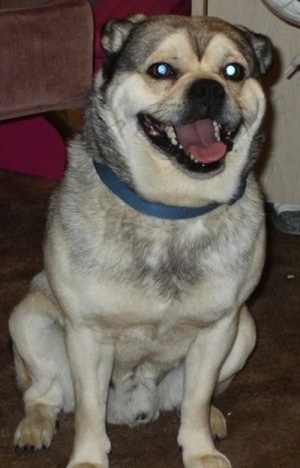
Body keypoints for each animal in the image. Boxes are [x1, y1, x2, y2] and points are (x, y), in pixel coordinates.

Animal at [8, 13, 272, 468]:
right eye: (161, 70)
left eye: (233, 71)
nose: (209, 89)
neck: (170, 210)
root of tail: (135, 405)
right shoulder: (87, 335)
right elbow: (89, 410)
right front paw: (88, 460)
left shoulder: (219, 329)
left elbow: (196, 400)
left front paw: (200, 450)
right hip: (27, 321)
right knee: (44, 395)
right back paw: (36, 427)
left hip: (246, 331)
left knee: (192, 400)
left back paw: (214, 418)